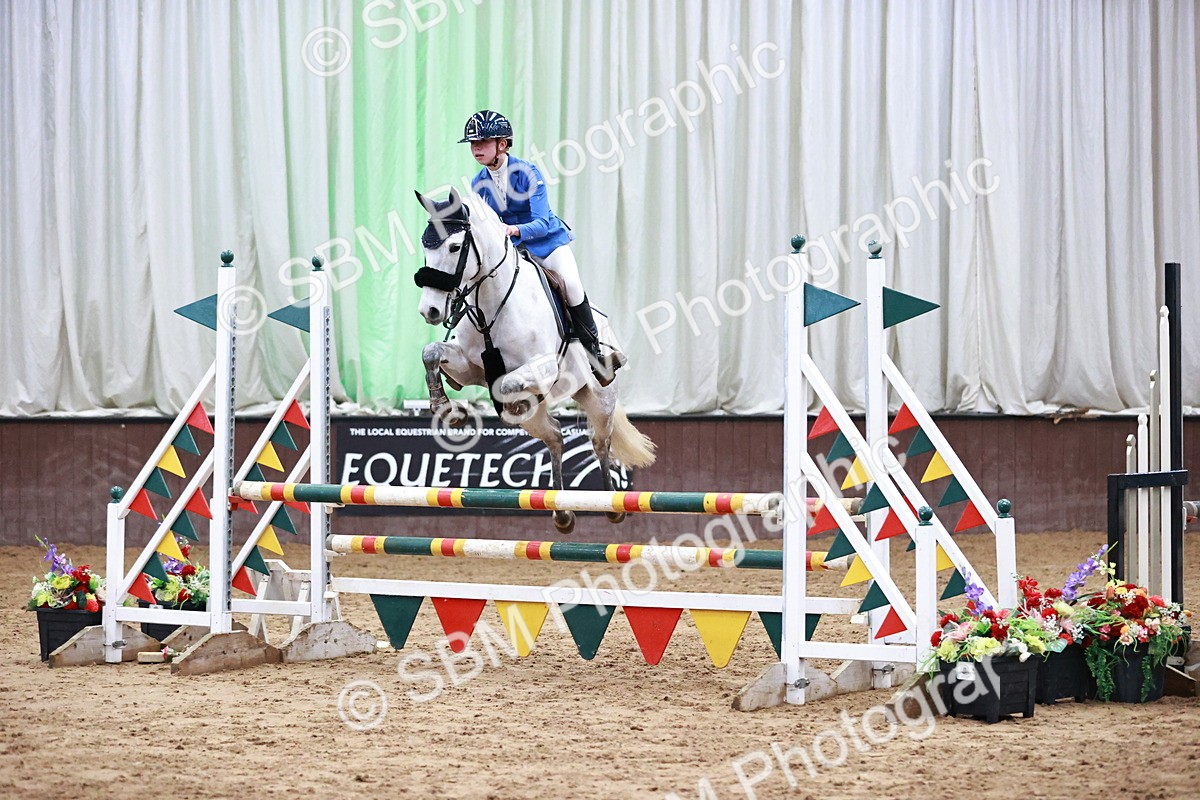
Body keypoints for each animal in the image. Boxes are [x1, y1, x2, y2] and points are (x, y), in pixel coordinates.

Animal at [413, 188, 656, 533]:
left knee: (599, 441)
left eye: (455, 246)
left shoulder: (543, 367)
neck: (491, 303)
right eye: (425, 246)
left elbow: (506, 384)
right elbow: (431, 353)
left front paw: (505, 404)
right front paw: (445, 407)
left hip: (600, 398)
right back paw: (562, 513)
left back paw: (612, 505)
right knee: (554, 435)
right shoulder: (469, 368)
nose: (430, 311)